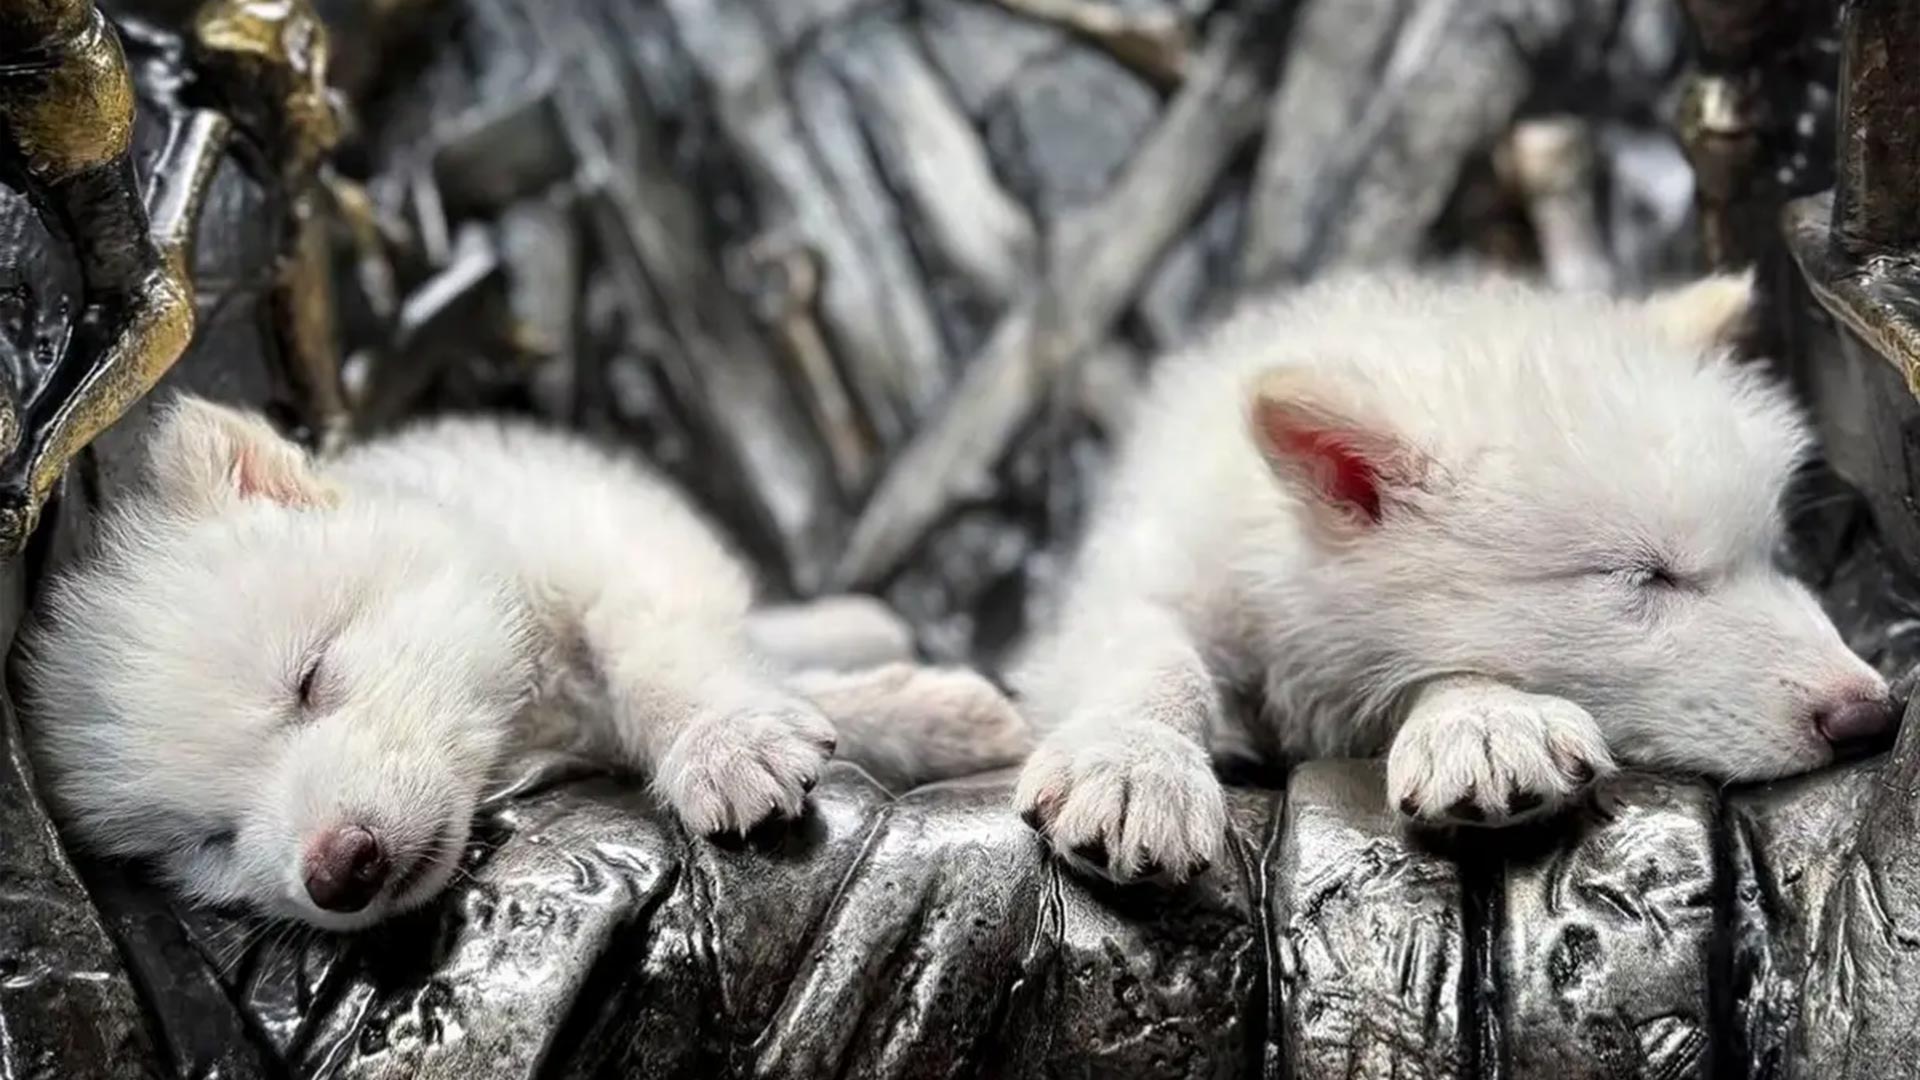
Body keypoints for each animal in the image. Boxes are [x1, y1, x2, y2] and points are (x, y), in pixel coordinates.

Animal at [19, 398, 1028, 931]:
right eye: (211, 842)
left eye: (309, 679)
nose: (337, 871)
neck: (524, 714)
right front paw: (929, 718)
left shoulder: (617, 551)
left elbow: (662, 657)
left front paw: (725, 741)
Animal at [1012, 271, 1898, 885]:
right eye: (1644, 576)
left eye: (1771, 557)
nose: (1876, 716)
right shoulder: (1147, 572)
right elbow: (1154, 653)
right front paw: (1132, 761)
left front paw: (1482, 719)